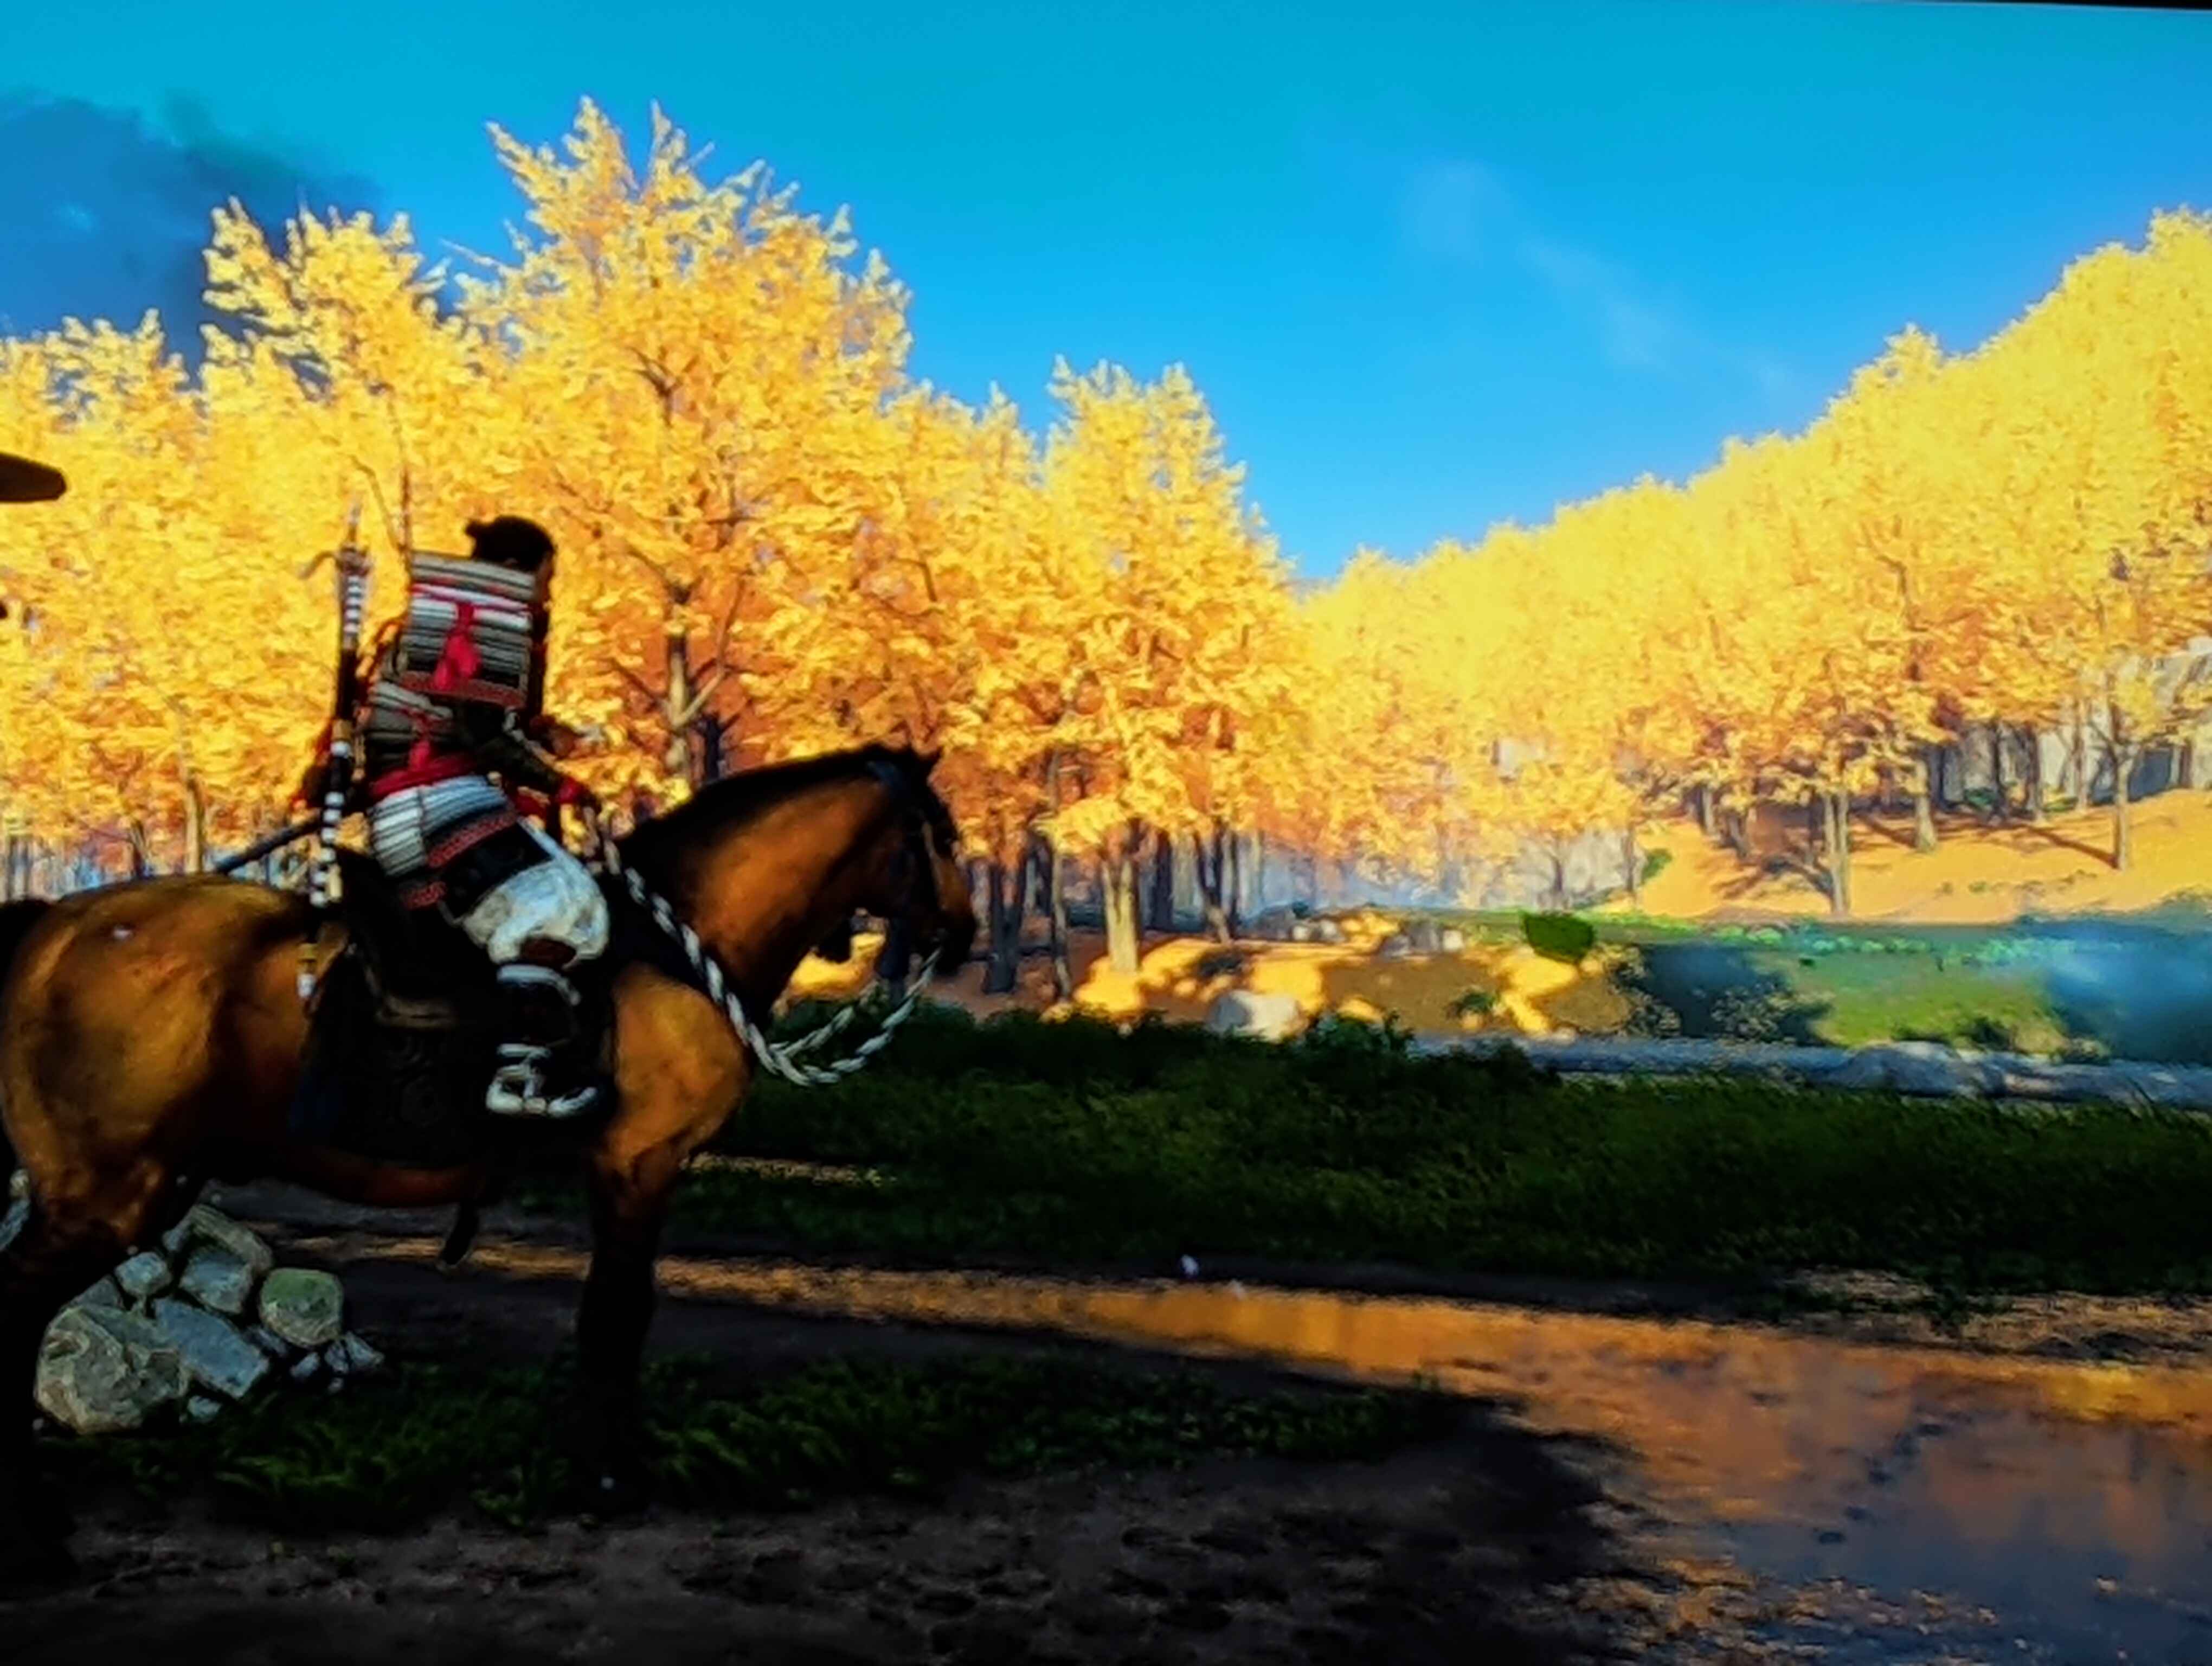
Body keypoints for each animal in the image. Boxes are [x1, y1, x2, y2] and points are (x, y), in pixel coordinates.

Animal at [0, 742, 975, 1588]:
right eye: (941, 834)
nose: (963, 932)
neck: (672, 950)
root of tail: (55, 923)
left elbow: (615, 1316)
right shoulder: (639, 1165)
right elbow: (617, 1314)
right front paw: (611, 1478)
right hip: (109, 1195)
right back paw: (36, 1535)